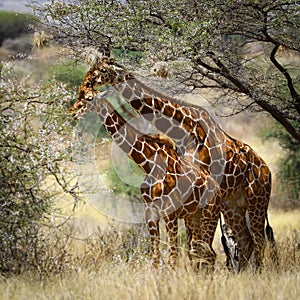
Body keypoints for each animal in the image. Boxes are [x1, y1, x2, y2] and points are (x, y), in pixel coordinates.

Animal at [69, 88, 221, 268]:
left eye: (89, 98)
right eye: (79, 96)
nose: (72, 112)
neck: (149, 165)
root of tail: (217, 187)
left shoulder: (170, 213)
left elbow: (173, 257)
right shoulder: (151, 212)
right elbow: (155, 258)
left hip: (210, 213)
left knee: (209, 254)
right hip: (193, 216)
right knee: (199, 252)